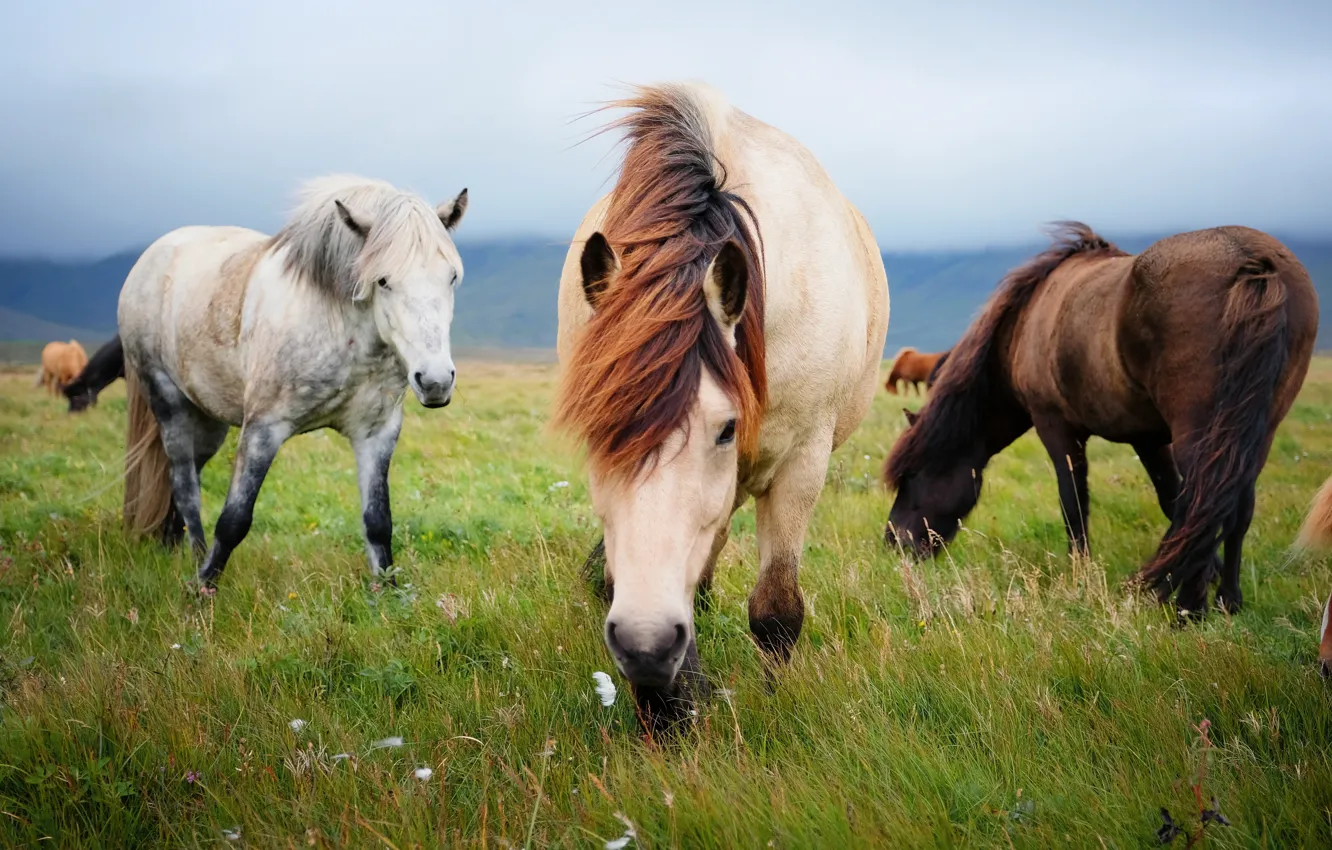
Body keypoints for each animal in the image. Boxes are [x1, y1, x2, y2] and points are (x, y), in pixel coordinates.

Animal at [118, 175, 468, 593]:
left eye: (451, 277)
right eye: (383, 280)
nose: (435, 381)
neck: (340, 328)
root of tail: (148, 260)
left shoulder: (377, 433)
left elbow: (378, 521)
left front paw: (388, 592)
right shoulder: (264, 428)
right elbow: (234, 519)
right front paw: (203, 588)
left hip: (207, 419)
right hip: (169, 402)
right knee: (185, 483)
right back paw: (195, 555)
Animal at [554, 82, 889, 725]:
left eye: (726, 428)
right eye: (592, 433)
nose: (645, 644)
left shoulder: (801, 465)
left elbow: (777, 609)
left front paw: (769, 705)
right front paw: (666, 715)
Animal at [883, 222, 1317, 617]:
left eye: (911, 478)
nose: (893, 543)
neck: (1025, 323)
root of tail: (1250, 261)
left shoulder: (1057, 428)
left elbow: (1074, 504)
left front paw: (1081, 578)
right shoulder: (1148, 437)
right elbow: (1170, 501)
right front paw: (1203, 572)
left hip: (1201, 434)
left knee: (1205, 503)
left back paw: (1189, 610)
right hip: (1253, 434)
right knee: (1233, 506)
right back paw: (1228, 601)